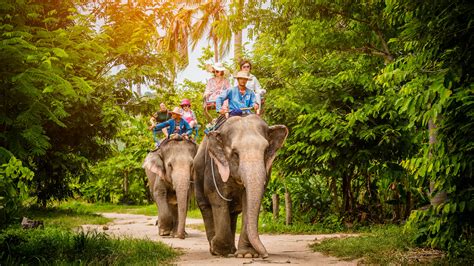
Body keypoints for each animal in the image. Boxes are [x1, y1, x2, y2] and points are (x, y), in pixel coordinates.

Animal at [193, 114, 288, 258]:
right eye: (235, 154)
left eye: (266, 151)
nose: (265, 255)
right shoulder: (214, 168)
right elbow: (217, 199)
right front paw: (220, 250)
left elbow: (248, 203)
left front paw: (247, 254)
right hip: (197, 174)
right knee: (205, 207)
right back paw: (214, 250)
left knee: (232, 213)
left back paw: (231, 250)